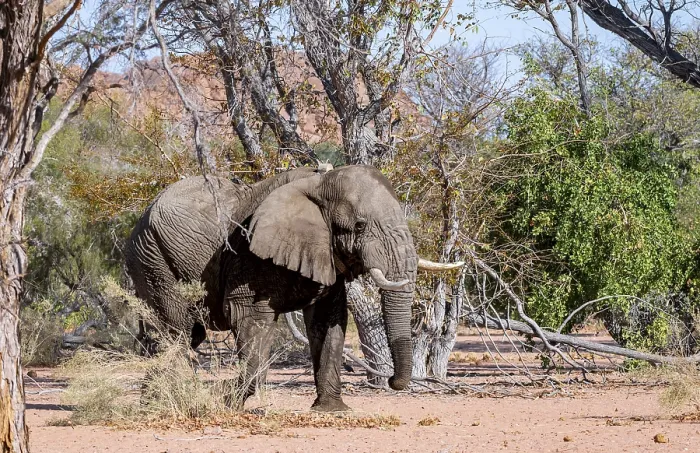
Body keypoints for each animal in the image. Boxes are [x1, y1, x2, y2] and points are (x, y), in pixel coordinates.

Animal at [125, 164, 460, 411]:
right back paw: (159, 404)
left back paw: (153, 402)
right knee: (177, 331)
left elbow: (329, 321)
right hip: (152, 258)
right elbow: (251, 320)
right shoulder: (248, 256)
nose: (391, 381)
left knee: (186, 335)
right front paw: (224, 402)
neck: (319, 184)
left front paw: (332, 410)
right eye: (360, 226)